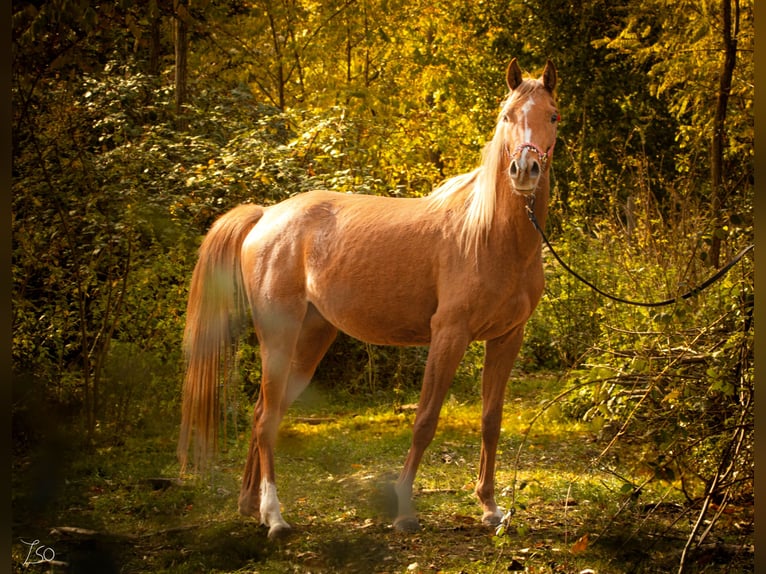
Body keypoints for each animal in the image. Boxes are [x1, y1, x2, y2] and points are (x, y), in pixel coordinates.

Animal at [178, 57, 559, 539]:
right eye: (507, 116)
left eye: (553, 116)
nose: (525, 169)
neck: (490, 233)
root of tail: (265, 216)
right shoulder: (449, 335)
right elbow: (424, 421)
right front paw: (404, 512)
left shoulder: (507, 337)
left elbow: (491, 422)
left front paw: (490, 508)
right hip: (279, 337)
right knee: (266, 420)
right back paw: (276, 517)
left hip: (311, 340)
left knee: (267, 410)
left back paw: (252, 506)